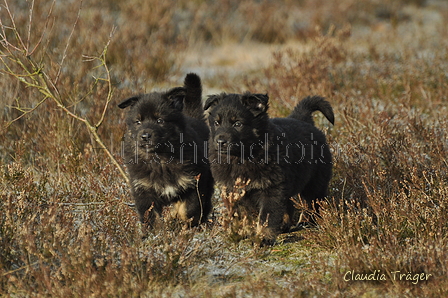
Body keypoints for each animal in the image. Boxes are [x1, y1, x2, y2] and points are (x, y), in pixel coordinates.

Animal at [119, 73, 214, 229]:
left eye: (159, 120)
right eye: (138, 122)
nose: (145, 136)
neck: (160, 159)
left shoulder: (193, 183)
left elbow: (187, 209)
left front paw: (181, 221)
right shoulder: (143, 189)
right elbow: (150, 217)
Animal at [205, 92, 334, 243]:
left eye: (237, 124)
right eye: (216, 123)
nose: (220, 141)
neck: (243, 156)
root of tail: (302, 119)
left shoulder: (272, 188)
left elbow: (267, 216)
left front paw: (263, 238)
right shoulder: (232, 190)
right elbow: (241, 215)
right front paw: (242, 233)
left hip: (315, 182)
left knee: (313, 202)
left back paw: (309, 222)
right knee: (289, 204)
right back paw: (284, 225)